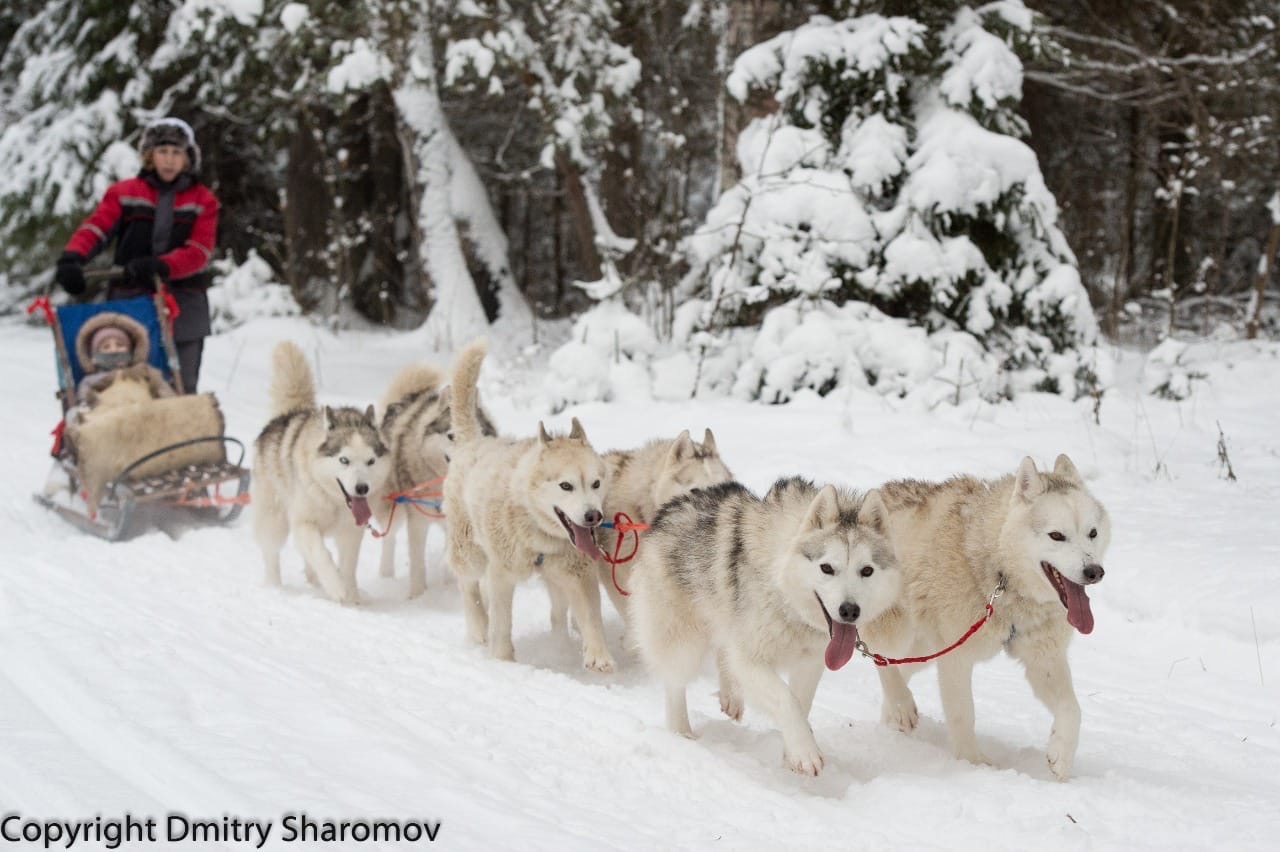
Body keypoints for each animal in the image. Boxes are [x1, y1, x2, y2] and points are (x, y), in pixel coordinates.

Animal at [249, 340, 389, 603]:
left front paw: (352, 596)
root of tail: (288, 414)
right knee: (272, 554)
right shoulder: (304, 524)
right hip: (274, 521)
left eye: (371, 461)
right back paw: (275, 587)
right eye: (344, 460)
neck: (334, 501)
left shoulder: (351, 532)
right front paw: (336, 587)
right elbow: (321, 555)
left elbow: (347, 566)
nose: (362, 488)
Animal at [373, 360, 494, 596]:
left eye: (480, 433)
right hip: (394, 507)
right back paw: (385, 574)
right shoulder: (417, 522)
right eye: (451, 435)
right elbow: (417, 564)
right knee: (388, 539)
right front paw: (418, 596)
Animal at [445, 337, 614, 670]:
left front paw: (598, 654)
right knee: (469, 588)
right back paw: (478, 627)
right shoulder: (502, 573)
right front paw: (502, 659)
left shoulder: (578, 572)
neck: (537, 531)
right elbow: (501, 623)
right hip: (470, 554)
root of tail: (474, 441)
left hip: (552, 578)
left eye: (596, 483)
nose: (593, 516)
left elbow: (591, 616)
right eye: (566, 485)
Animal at [629, 473, 901, 772]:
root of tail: (669, 509)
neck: (785, 596)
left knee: (723, 653)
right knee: (675, 684)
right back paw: (680, 733)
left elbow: (800, 704)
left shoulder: (809, 663)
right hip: (682, 643)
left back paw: (731, 697)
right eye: (827, 568)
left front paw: (792, 753)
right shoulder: (750, 660)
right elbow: (787, 701)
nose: (850, 611)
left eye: (867, 571)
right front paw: (805, 752)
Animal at [860, 455, 1111, 777]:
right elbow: (963, 715)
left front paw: (1061, 756)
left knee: (898, 667)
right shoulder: (956, 659)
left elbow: (1073, 710)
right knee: (879, 656)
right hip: (899, 631)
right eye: (1057, 535)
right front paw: (973, 765)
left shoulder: (1043, 659)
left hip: (926, 651)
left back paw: (893, 717)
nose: (1094, 572)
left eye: (1092, 533)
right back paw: (901, 707)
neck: (999, 572)